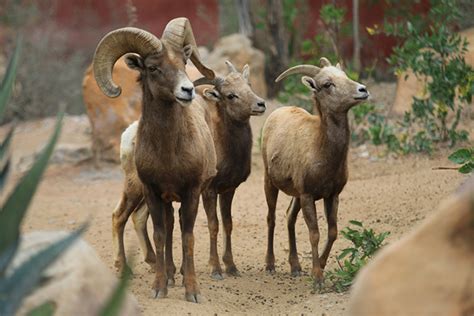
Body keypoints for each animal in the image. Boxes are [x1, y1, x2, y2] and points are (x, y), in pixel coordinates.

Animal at [92, 17, 217, 304]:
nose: (187, 90)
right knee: (127, 219)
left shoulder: (191, 193)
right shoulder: (152, 192)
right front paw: (160, 288)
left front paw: (192, 291)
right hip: (139, 190)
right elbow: (160, 235)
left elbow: (187, 237)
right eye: (153, 68)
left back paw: (173, 275)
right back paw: (139, 271)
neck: (168, 153)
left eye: (183, 62)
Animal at [111, 60, 266, 280]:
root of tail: (128, 135)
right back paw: (123, 268)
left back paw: (153, 263)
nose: (260, 104)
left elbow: (228, 224)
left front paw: (232, 267)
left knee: (138, 217)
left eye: (249, 86)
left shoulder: (228, 190)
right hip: (135, 187)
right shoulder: (209, 191)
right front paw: (215, 269)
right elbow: (213, 224)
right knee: (119, 217)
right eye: (230, 95)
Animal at [262, 56, 368, 288]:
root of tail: (276, 113)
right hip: (270, 183)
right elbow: (314, 234)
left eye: (344, 76)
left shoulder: (331, 195)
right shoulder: (308, 195)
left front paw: (320, 265)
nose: (362, 90)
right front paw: (318, 278)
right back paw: (270, 265)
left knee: (289, 217)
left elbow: (333, 231)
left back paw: (295, 267)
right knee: (271, 218)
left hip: (296, 195)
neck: (321, 150)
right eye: (327, 84)